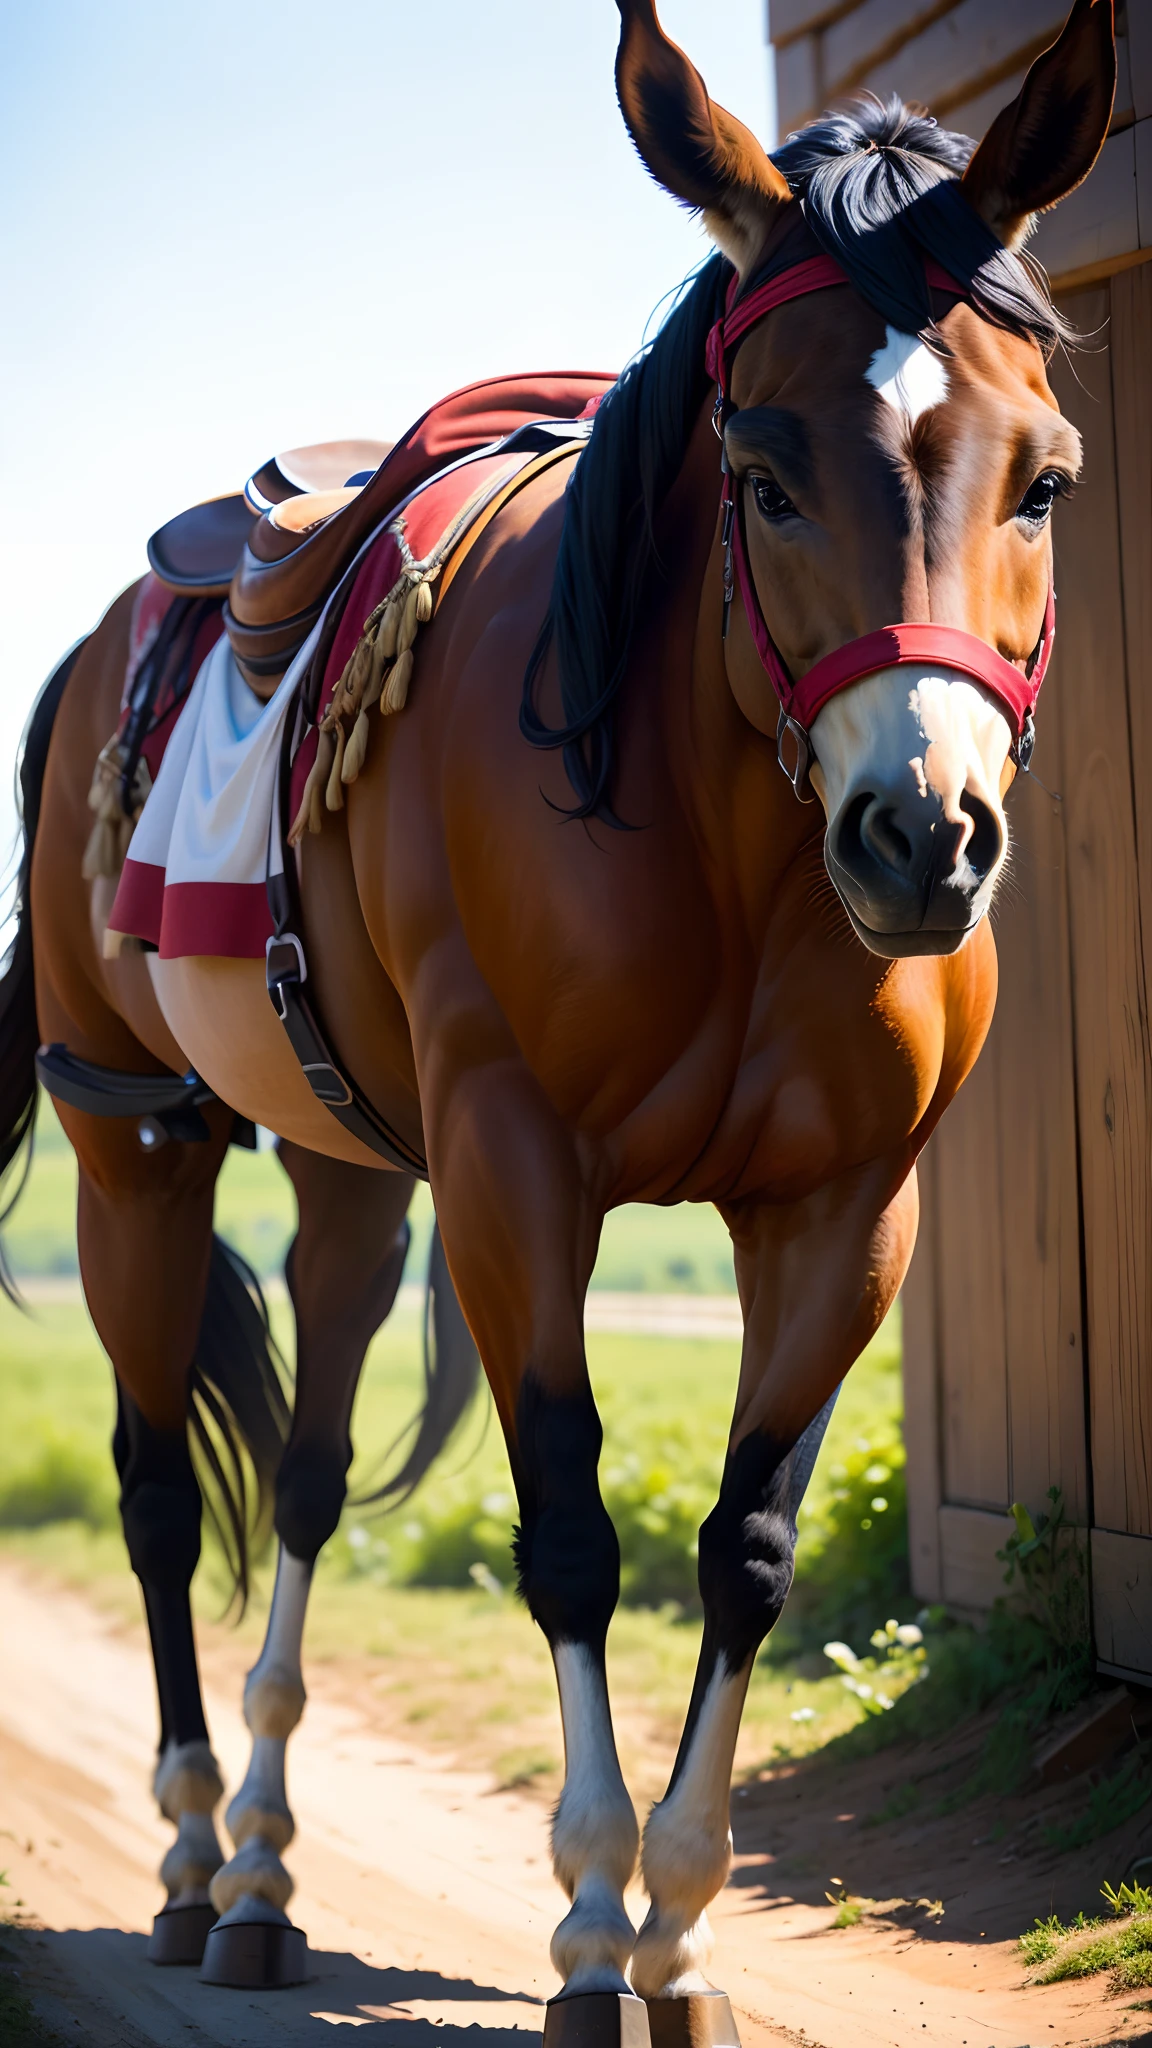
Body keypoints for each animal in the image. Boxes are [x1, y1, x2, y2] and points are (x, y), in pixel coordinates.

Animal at [0, 0, 1115, 2023]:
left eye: (1045, 478)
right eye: (761, 470)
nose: (921, 834)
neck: (726, 852)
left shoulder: (847, 1214)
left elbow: (744, 1552)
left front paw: (679, 1923)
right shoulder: (520, 1180)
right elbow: (576, 1535)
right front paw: (595, 1920)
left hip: (351, 1175)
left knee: (303, 1476)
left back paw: (269, 1866)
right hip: (140, 1148)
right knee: (152, 1487)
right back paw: (196, 1853)